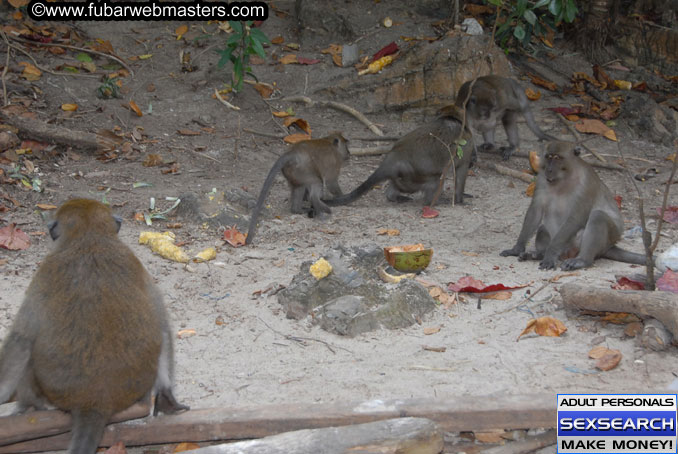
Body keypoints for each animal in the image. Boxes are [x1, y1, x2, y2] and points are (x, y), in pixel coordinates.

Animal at [0, 200, 189, 454]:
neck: (90, 236)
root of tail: (96, 402)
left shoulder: (45, 272)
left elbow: (20, 338)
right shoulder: (137, 265)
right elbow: (163, 324)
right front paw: (167, 396)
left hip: (52, 390)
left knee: (27, 358)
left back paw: (29, 407)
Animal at [324, 104, 472, 207]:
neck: (450, 118)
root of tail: (394, 157)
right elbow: (461, 172)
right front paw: (460, 199)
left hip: (404, 179)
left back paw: (392, 196)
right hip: (414, 178)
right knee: (436, 179)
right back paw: (432, 201)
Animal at [502, 142, 652, 270]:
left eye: (557, 157)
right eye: (549, 157)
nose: (549, 169)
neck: (564, 178)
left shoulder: (586, 185)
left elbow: (575, 218)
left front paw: (550, 254)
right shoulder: (541, 179)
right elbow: (536, 211)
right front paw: (517, 249)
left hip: (597, 241)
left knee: (598, 217)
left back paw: (582, 260)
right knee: (543, 229)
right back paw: (538, 254)